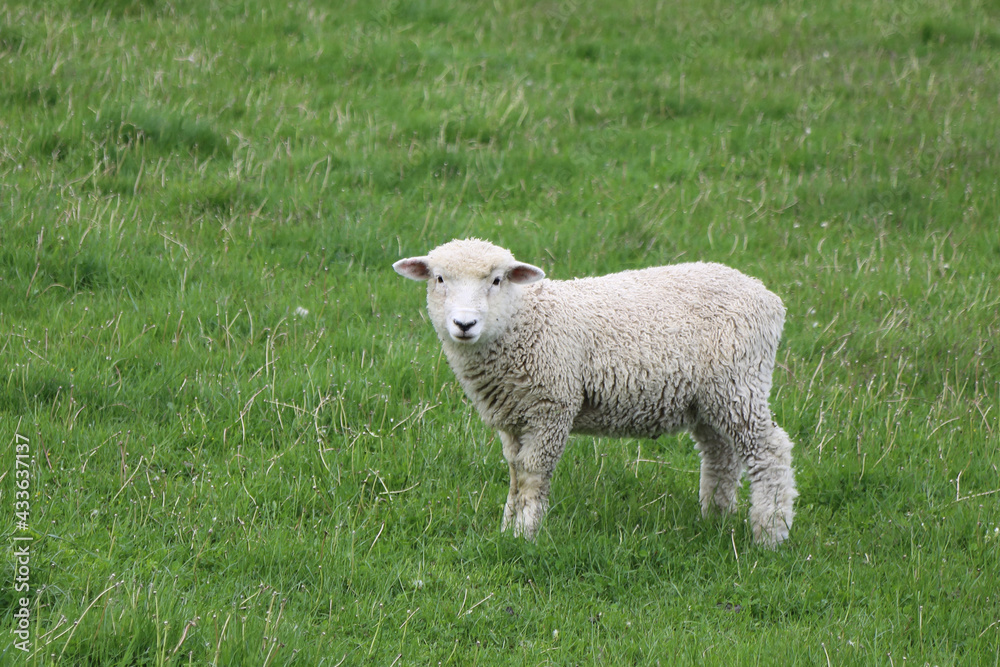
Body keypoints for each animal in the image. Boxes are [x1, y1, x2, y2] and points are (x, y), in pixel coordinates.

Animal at [393, 238, 798, 547]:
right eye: (439, 278)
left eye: (496, 280)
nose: (464, 324)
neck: (523, 321)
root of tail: (768, 297)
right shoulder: (514, 417)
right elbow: (515, 472)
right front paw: (507, 528)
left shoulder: (552, 407)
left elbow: (533, 474)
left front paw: (525, 535)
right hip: (708, 398)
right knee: (720, 455)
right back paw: (715, 516)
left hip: (739, 383)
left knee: (771, 451)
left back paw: (771, 533)